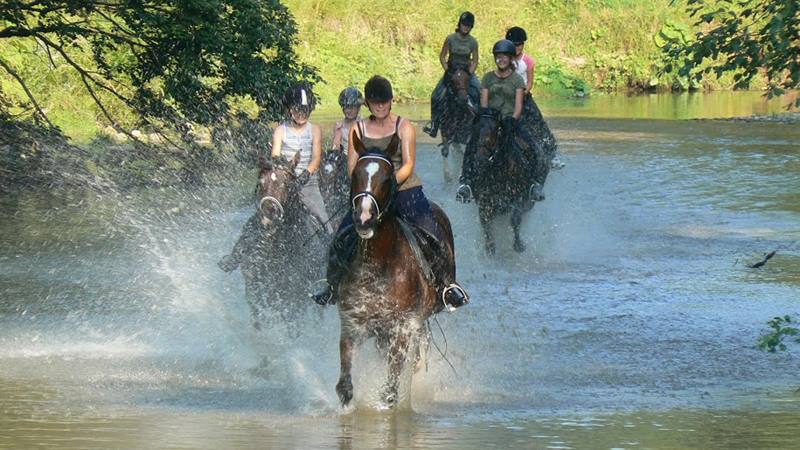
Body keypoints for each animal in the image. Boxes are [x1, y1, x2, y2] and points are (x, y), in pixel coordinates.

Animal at [332, 132, 456, 406]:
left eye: (387, 179)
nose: (363, 218)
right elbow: (344, 386)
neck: (379, 264)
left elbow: (389, 391)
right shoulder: (352, 324)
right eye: (355, 174)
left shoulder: (401, 329)